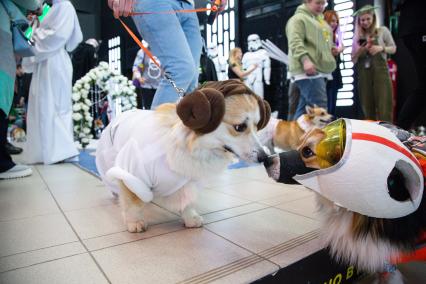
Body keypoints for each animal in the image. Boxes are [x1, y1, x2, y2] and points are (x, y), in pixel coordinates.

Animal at [96, 80, 270, 233]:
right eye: (239, 127)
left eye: (257, 126)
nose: (264, 158)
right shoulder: (133, 172)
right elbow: (133, 202)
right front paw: (134, 222)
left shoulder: (189, 181)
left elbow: (188, 201)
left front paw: (190, 218)